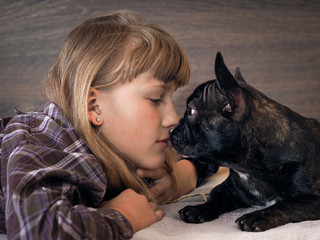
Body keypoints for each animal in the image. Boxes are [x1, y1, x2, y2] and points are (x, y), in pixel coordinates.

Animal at [171, 52, 320, 231]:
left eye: (191, 111)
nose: (172, 129)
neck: (249, 169)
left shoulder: (314, 198)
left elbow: (287, 205)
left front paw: (257, 216)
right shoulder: (228, 189)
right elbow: (215, 197)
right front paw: (198, 209)